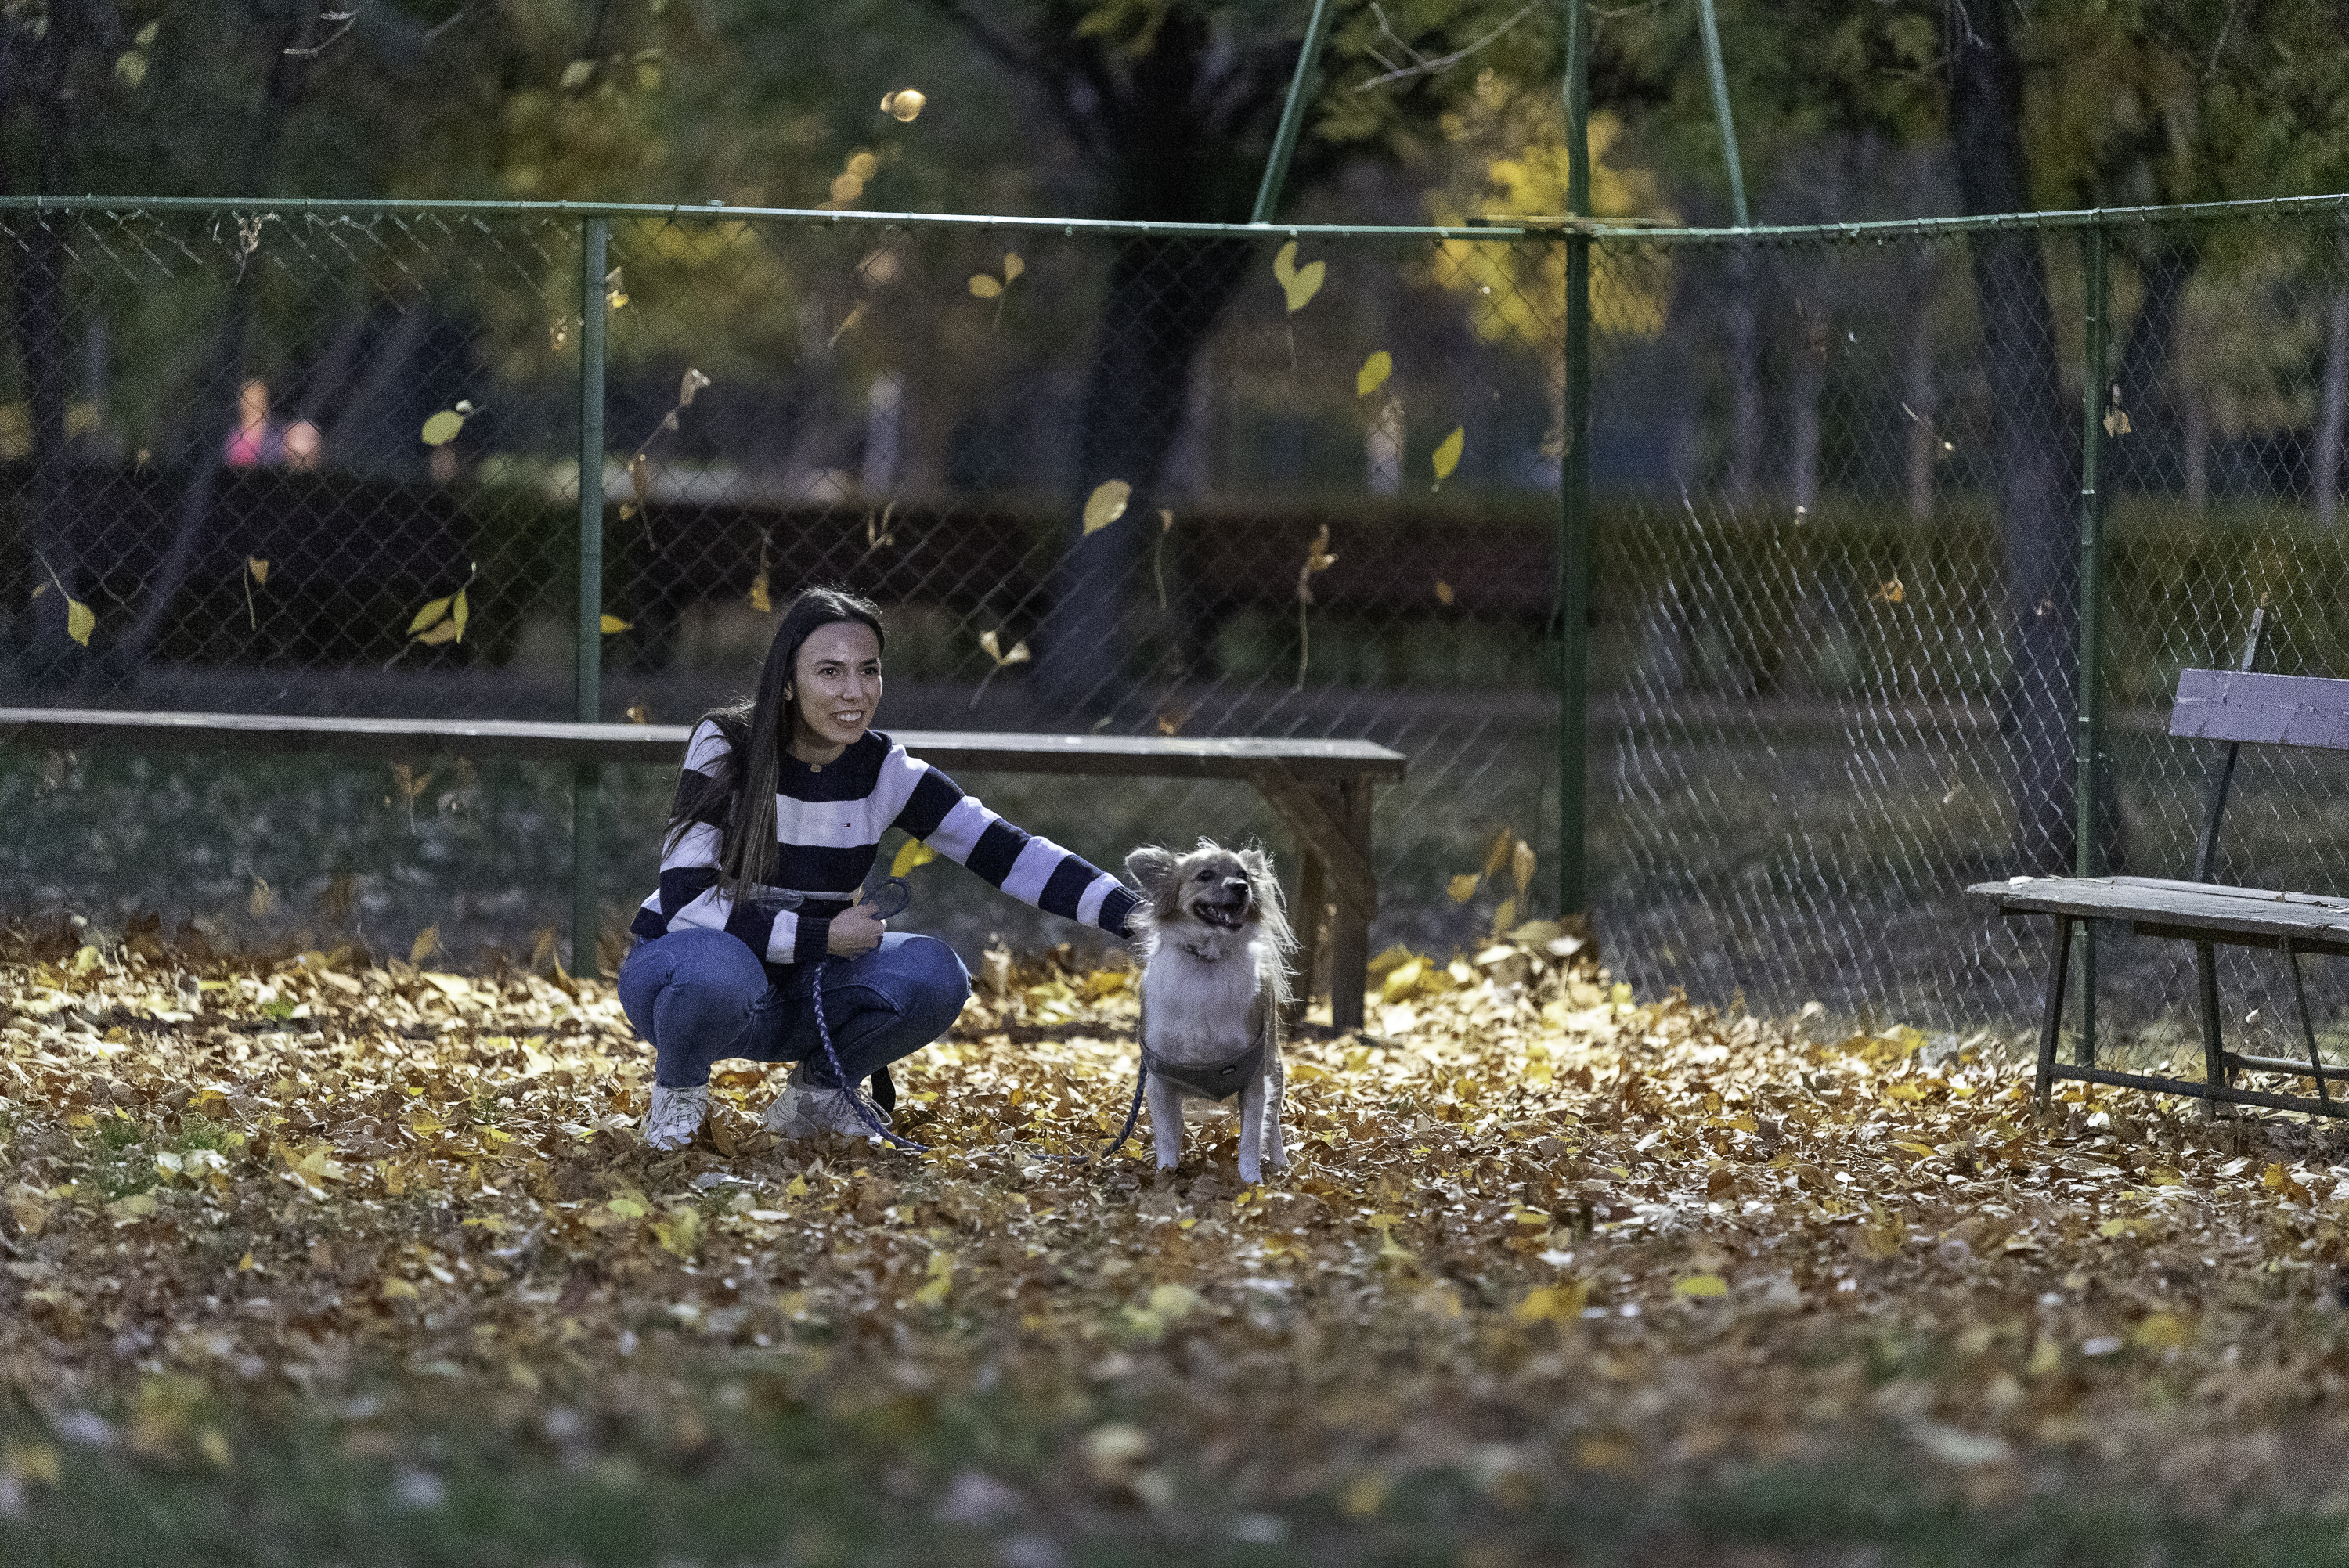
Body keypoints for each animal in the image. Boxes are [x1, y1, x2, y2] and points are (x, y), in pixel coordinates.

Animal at [1123, 840, 1297, 1183]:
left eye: (1243, 875)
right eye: (1205, 876)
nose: (1242, 888)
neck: (1209, 960)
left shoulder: (1254, 1079)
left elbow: (1251, 1137)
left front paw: (1252, 1181)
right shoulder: (1160, 1083)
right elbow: (1167, 1135)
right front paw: (1166, 1173)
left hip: (1274, 1068)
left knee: (1272, 1124)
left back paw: (1281, 1163)